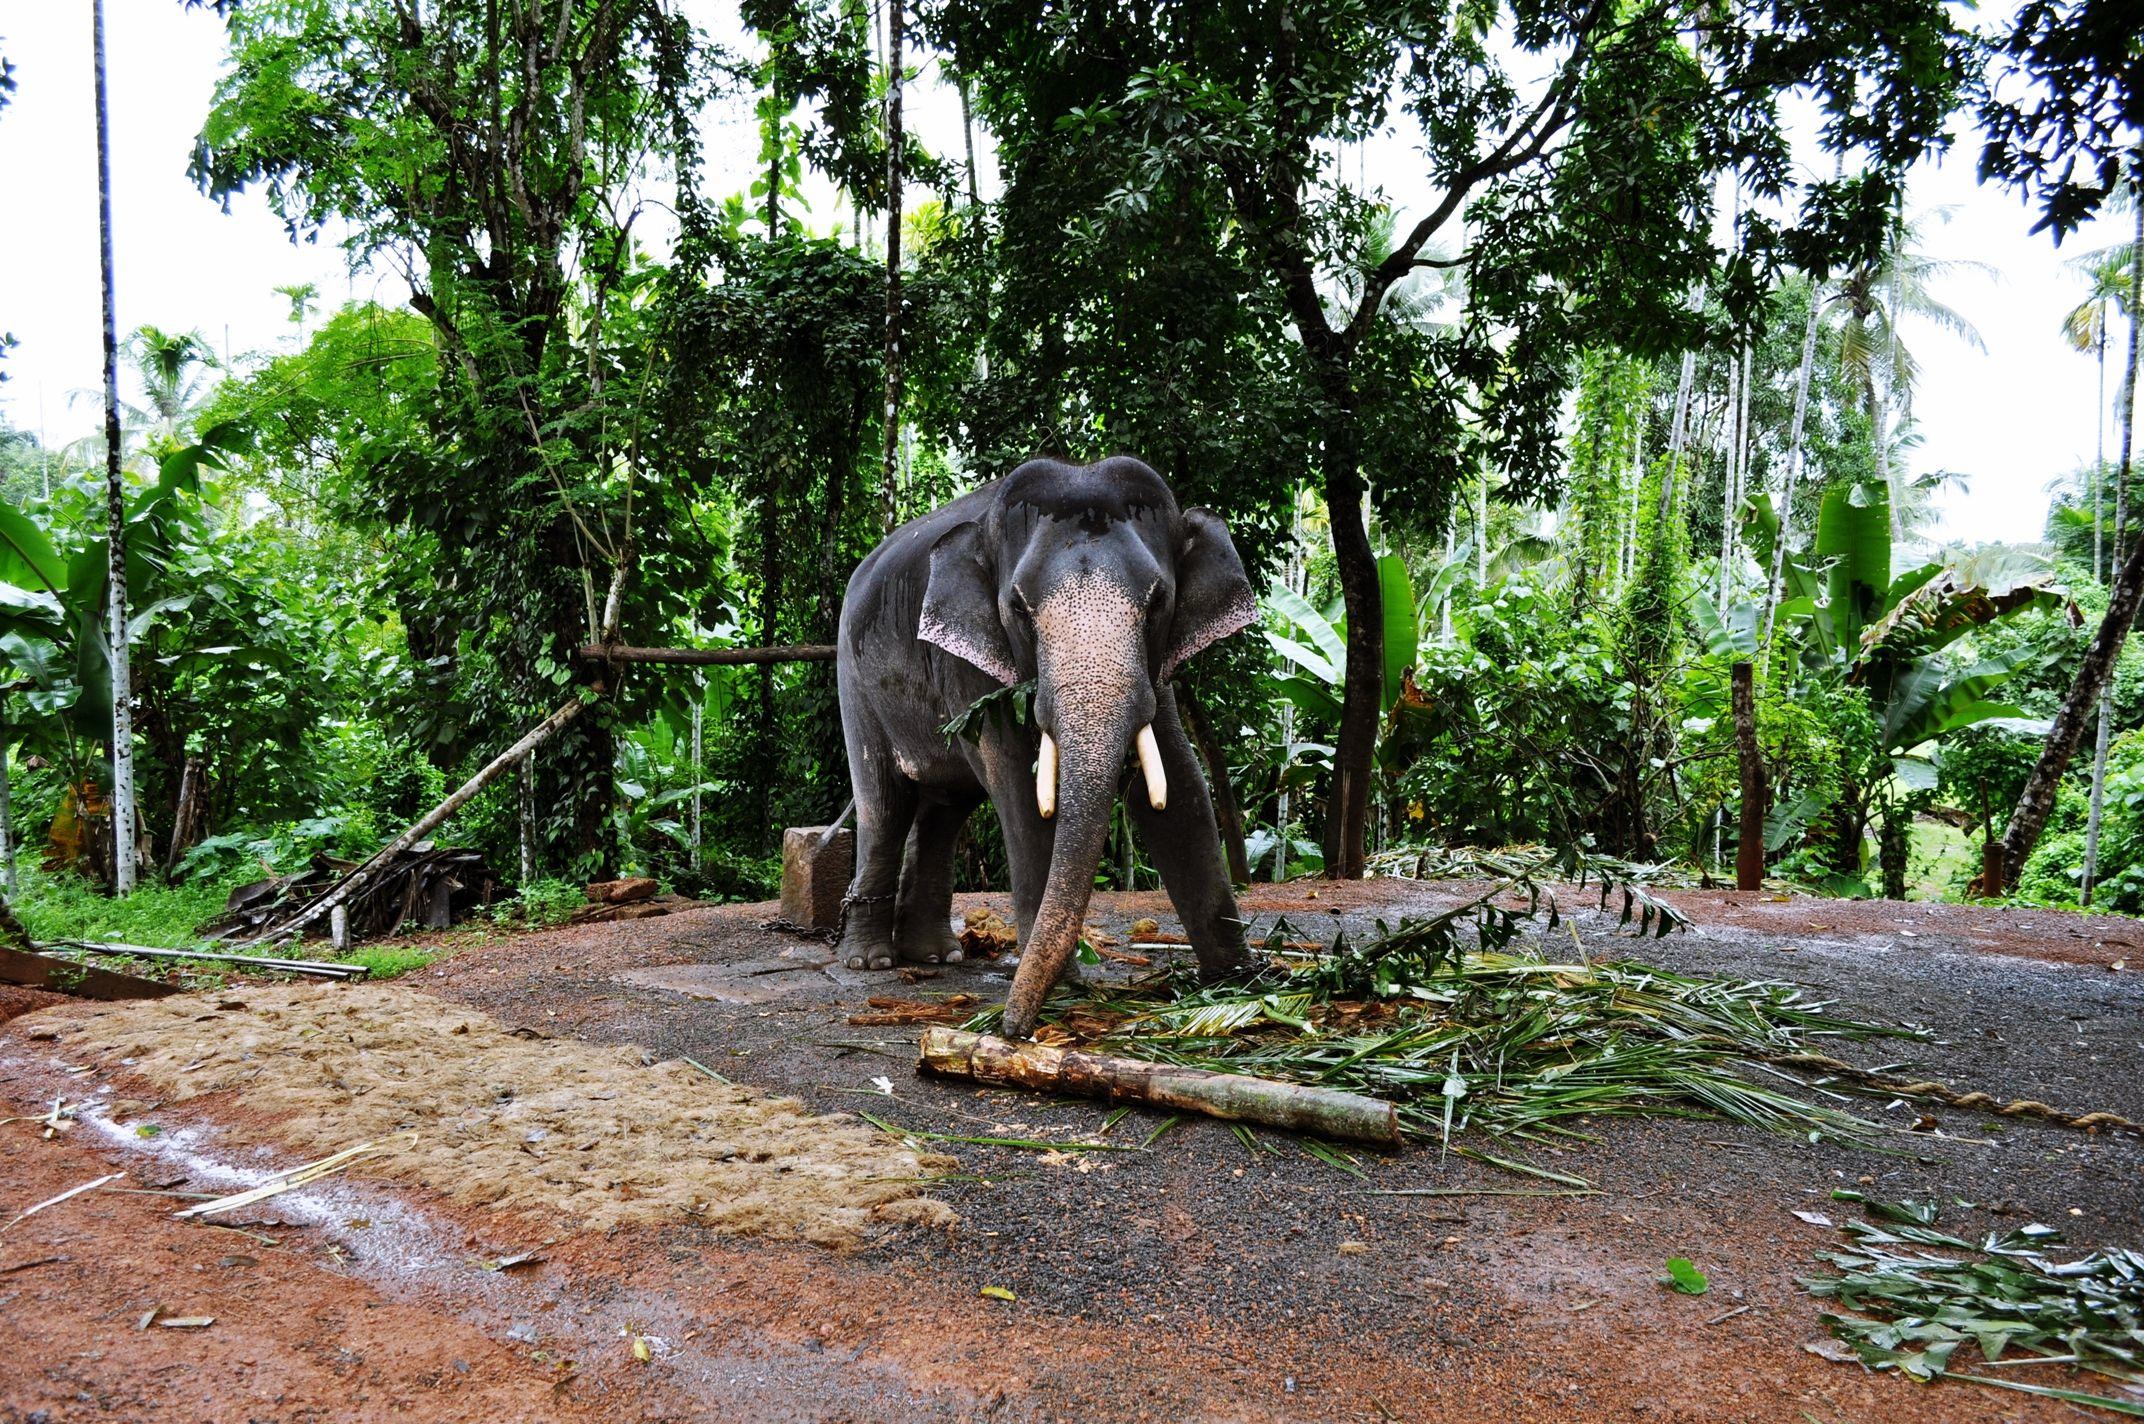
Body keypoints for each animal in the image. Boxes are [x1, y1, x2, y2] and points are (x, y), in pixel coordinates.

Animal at [836, 455, 1259, 1040]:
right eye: (1018, 607)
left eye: (1158, 603)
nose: (1013, 1028)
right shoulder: (973, 666)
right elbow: (1021, 791)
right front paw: (1065, 992)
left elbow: (1181, 789)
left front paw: (1243, 983)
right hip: (854, 681)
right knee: (884, 804)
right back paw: (870, 961)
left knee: (945, 807)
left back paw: (938, 956)